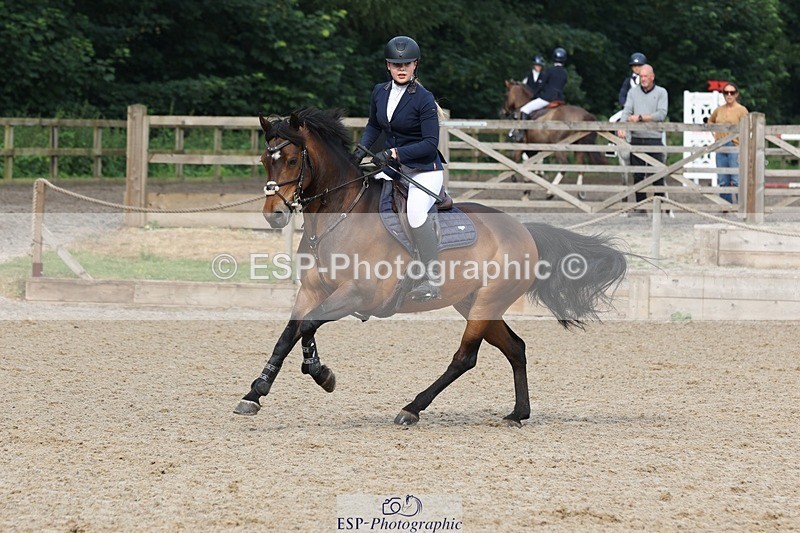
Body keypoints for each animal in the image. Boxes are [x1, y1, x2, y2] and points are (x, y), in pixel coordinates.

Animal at [233, 107, 627, 427]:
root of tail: (524, 230)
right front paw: (257, 392)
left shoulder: (360, 294)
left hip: (485, 304)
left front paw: (319, 373)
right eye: (265, 160)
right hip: (474, 303)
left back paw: (412, 408)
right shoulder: (313, 290)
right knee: (516, 348)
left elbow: (308, 326)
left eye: (292, 161)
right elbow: (290, 333)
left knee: (465, 358)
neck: (341, 214)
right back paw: (518, 413)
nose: (274, 215)